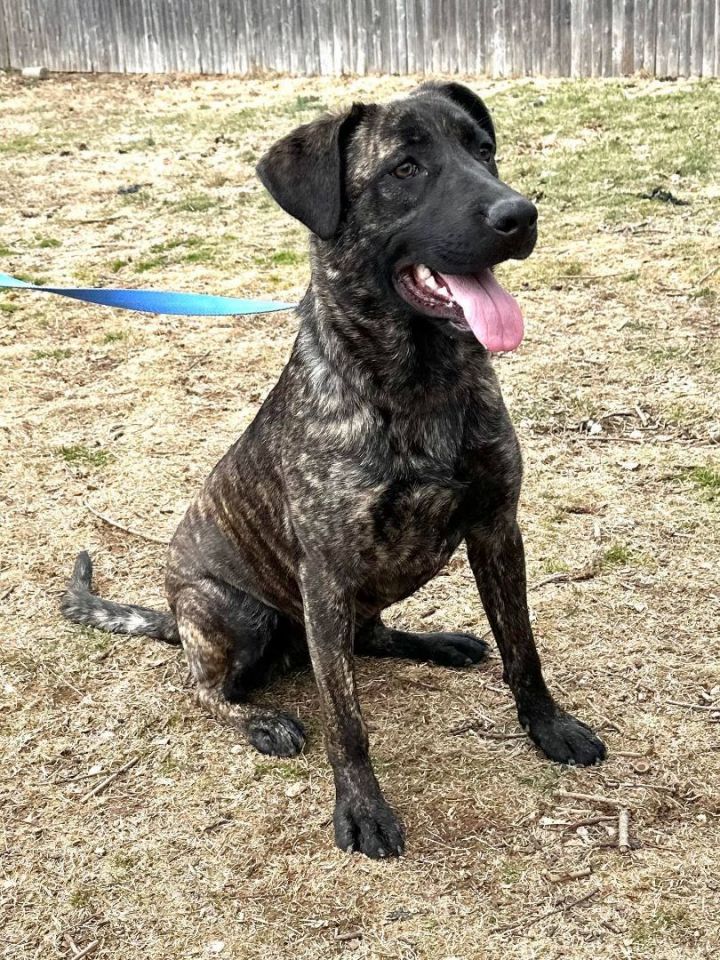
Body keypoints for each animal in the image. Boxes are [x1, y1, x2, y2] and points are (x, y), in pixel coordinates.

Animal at [62, 82, 604, 860]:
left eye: (483, 150)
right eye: (405, 168)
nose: (519, 215)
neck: (418, 382)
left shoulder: (497, 528)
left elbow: (522, 648)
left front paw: (549, 727)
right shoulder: (324, 573)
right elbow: (346, 721)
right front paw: (361, 807)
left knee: (369, 638)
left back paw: (438, 643)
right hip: (237, 611)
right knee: (206, 689)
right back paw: (259, 718)